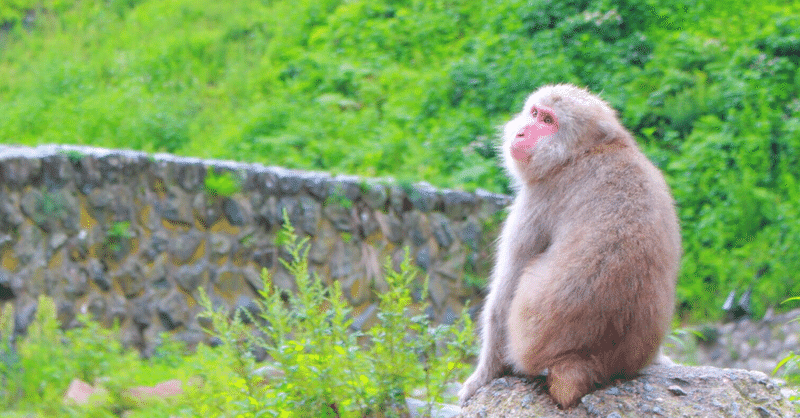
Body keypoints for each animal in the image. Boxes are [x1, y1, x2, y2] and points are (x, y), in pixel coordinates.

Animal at [460, 84, 680, 408]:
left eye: (548, 121)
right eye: (535, 112)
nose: (521, 132)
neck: (587, 151)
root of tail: (586, 361)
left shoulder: (539, 198)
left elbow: (505, 292)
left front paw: (481, 377)